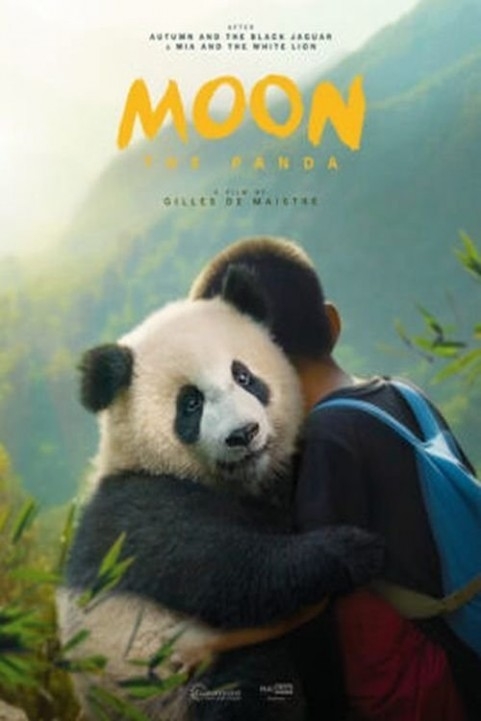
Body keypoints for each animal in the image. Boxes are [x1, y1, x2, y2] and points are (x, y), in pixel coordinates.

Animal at [58, 266, 384, 721]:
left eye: (243, 376)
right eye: (190, 403)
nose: (243, 434)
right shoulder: (139, 510)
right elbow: (224, 569)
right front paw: (351, 549)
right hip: (173, 682)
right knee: (250, 684)